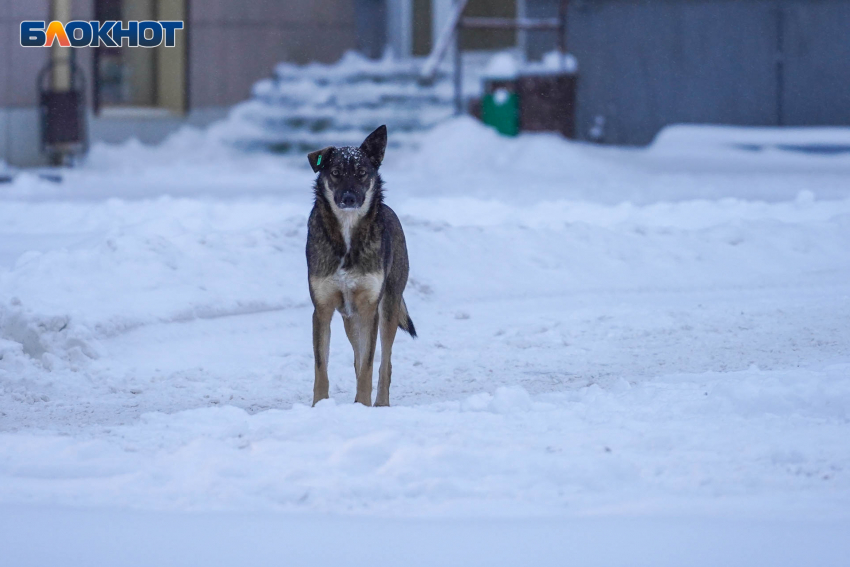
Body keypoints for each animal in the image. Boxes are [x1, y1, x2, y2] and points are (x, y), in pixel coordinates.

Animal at [306, 126, 416, 406]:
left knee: (384, 363)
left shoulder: (370, 309)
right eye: (335, 173)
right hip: (349, 317)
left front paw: (364, 406)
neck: (347, 234)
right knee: (358, 358)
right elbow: (321, 367)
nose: (349, 198)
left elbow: (368, 365)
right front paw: (319, 406)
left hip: (388, 308)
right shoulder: (322, 309)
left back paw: (380, 404)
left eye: (362, 173)